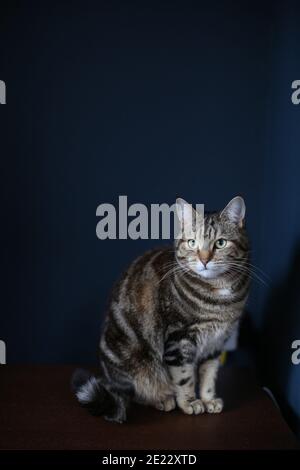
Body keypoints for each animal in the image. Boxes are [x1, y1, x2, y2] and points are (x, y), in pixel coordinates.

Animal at [71, 196, 250, 424]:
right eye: (192, 243)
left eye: (220, 243)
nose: (204, 259)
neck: (220, 297)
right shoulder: (179, 338)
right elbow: (184, 377)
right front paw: (190, 403)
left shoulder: (217, 341)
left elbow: (209, 374)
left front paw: (208, 400)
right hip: (134, 360)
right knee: (134, 392)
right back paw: (161, 399)